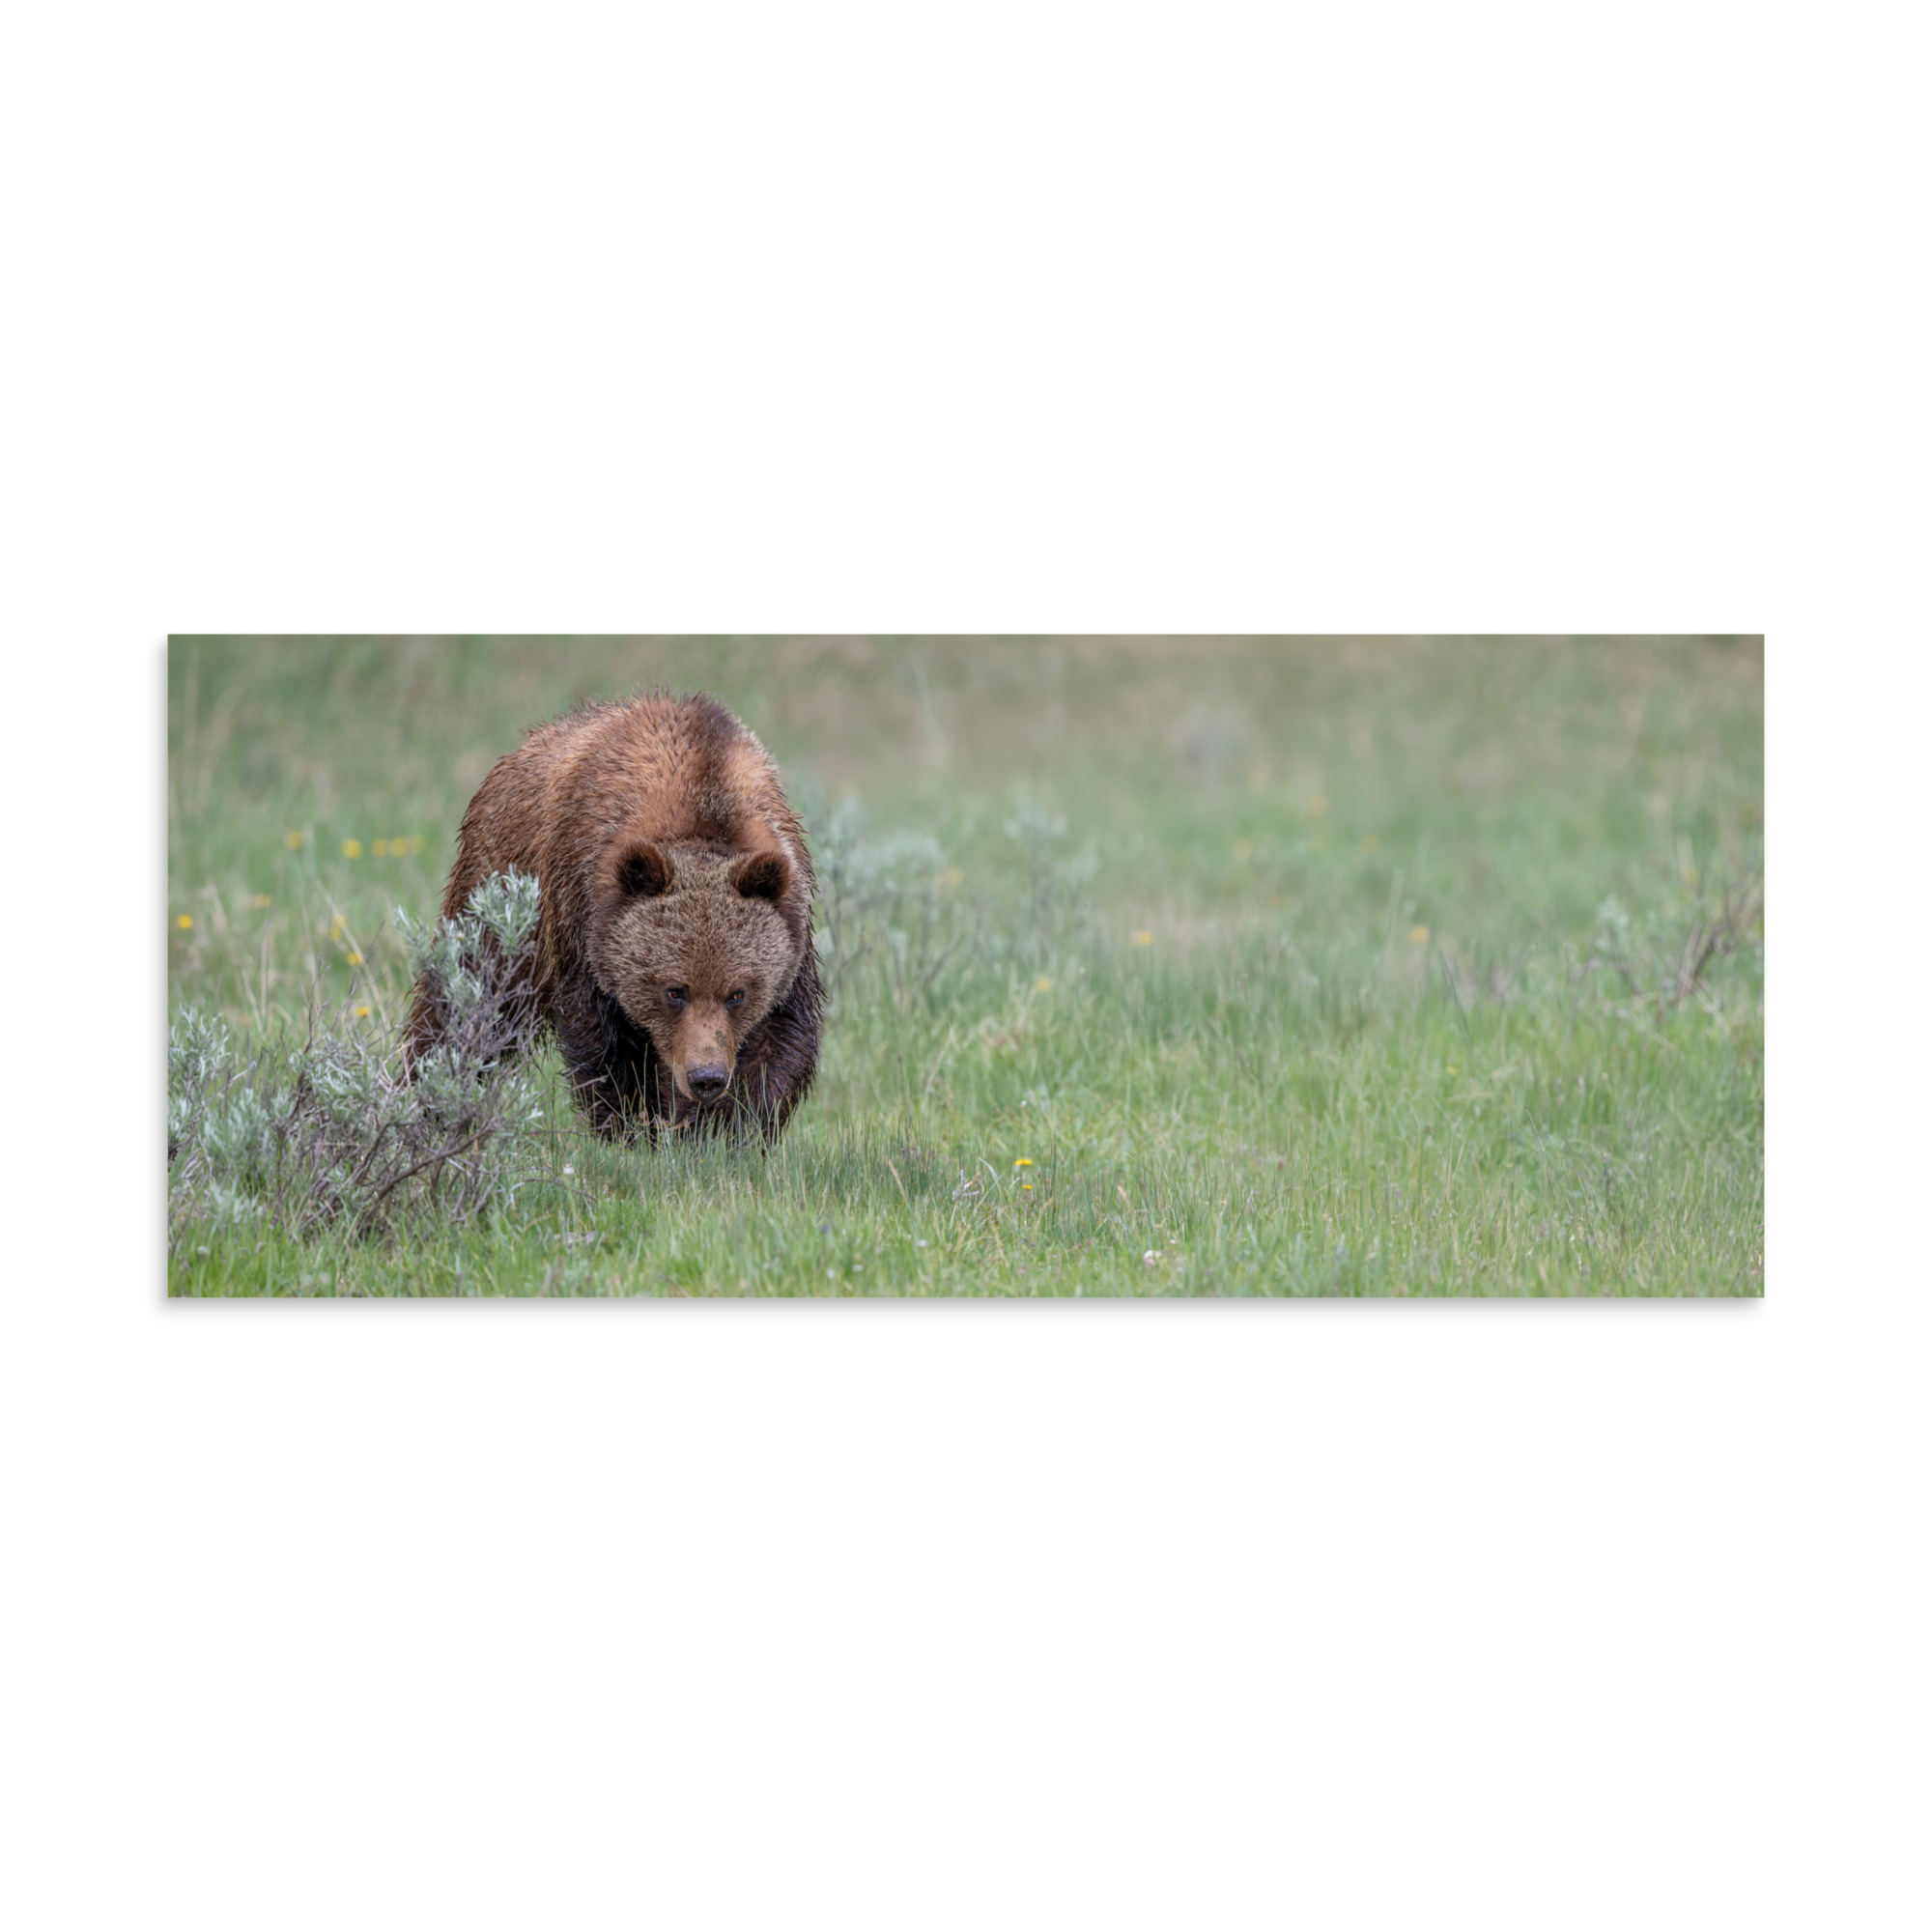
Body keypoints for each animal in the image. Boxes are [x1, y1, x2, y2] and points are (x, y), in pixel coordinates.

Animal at [408, 691, 823, 1141]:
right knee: (467, 1000)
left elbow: (778, 1043)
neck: (703, 801)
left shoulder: (791, 930)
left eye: (737, 993)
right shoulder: (581, 917)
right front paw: (631, 1127)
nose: (706, 1077)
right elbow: (605, 1045)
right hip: (499, 897)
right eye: (674, 991)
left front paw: (722, 1131)